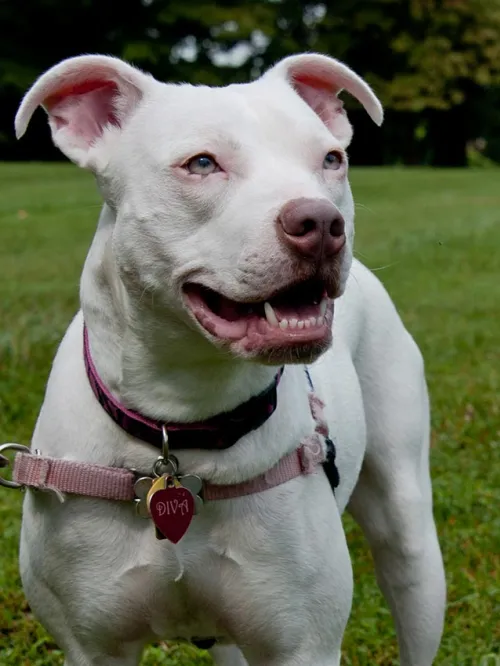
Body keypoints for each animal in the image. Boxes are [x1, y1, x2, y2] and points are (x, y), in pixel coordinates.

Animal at [8, 53, 446, 664]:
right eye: (201, 163)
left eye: (331, 159)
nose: (321, 223)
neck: (181, 429)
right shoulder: (93, 646)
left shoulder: (303, 645)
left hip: (411, 544)